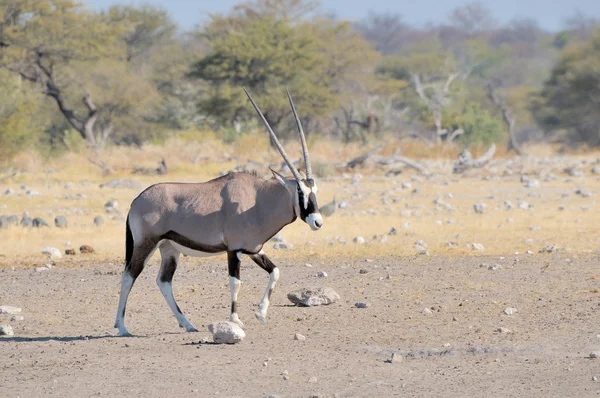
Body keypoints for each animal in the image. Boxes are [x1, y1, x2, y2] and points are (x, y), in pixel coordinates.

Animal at [113, 89, 324, 336]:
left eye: (314, 190)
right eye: (300, 191)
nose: (317, 222)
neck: (258, 199)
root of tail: (136, 201)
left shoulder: (254, 249)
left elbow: (275, 272)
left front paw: (261, 313)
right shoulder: (234, 250)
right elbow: (235, 282)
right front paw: (235, 320)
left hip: (169, 249)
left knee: (163, 281)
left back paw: (187, 324)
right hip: (146, 244)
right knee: (129, 275)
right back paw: (122, 327)